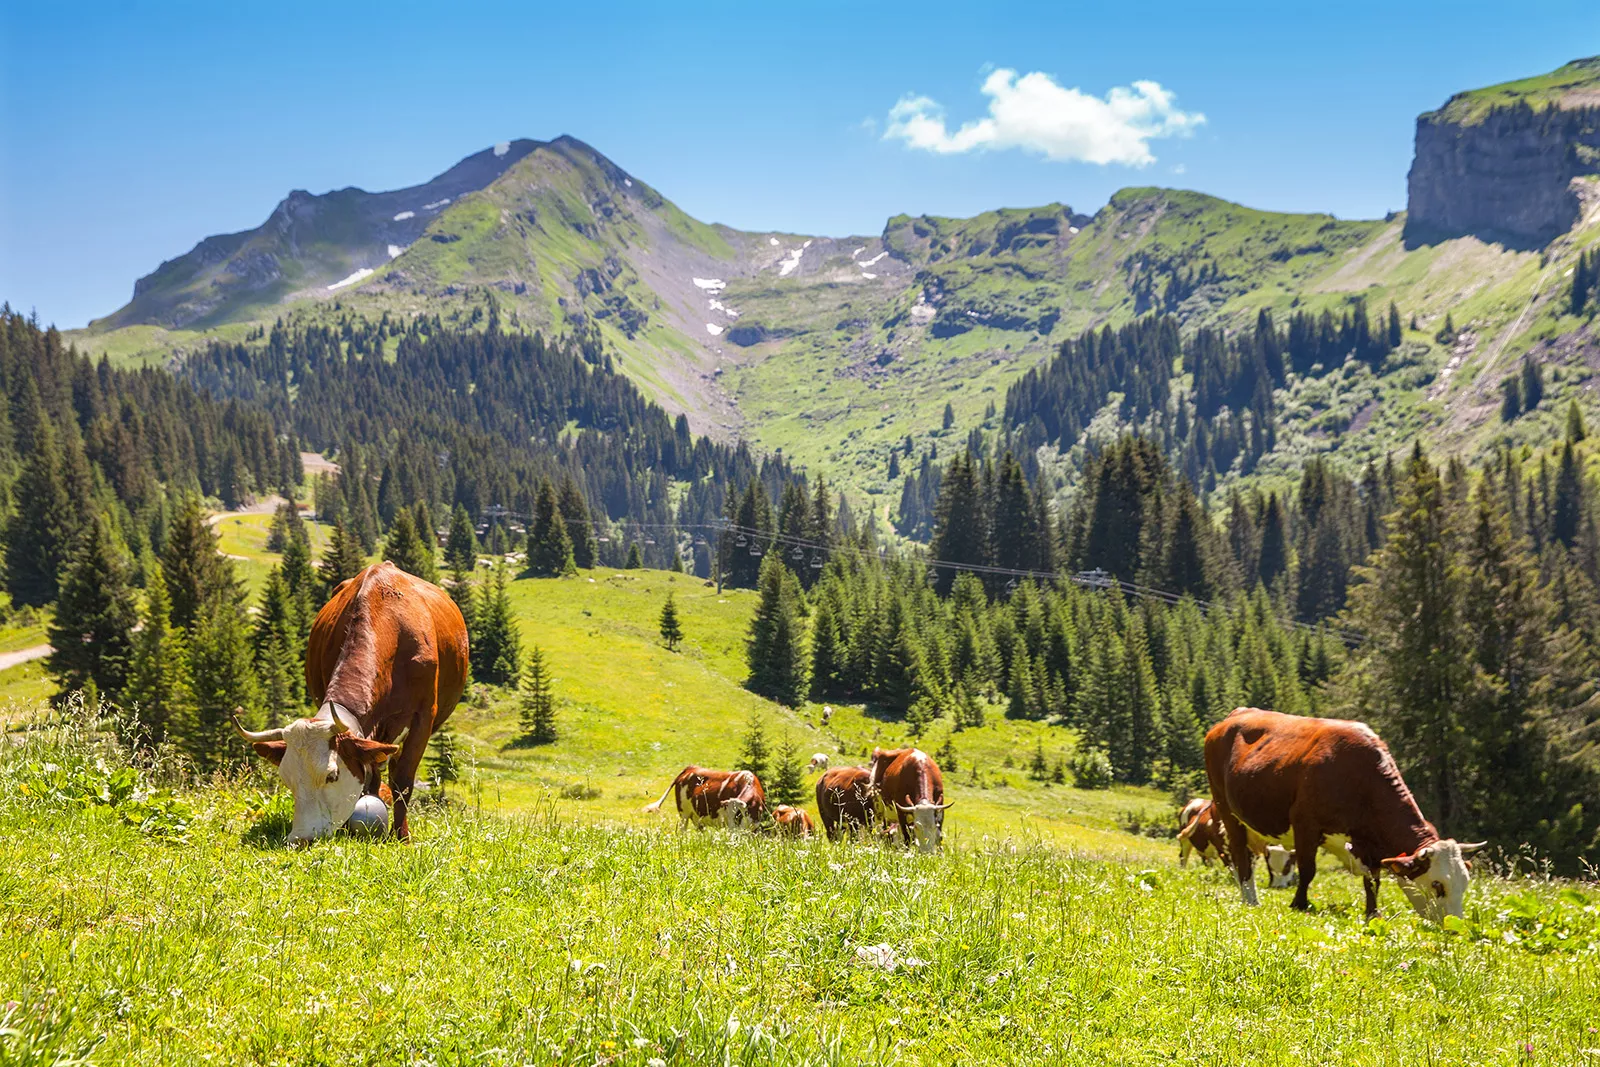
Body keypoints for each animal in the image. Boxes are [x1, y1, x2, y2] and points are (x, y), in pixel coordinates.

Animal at [232, 563, 467, 844]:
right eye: (287, 779)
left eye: (332, 775)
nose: (300, 838)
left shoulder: (423, 718)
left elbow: (403, 781)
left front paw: (402, 836)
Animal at [1203, 703, 1491, 921]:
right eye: (1437, 884)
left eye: (1464, 882)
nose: (1455, 925)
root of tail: (1234, 716)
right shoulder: (1305, 824)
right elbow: (1308, 869)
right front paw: (1299, 904)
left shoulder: (1369, 843)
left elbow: (1373, 880)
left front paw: (1372, 913)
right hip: (1226, 808)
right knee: (1240, 856)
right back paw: (1250, 899)